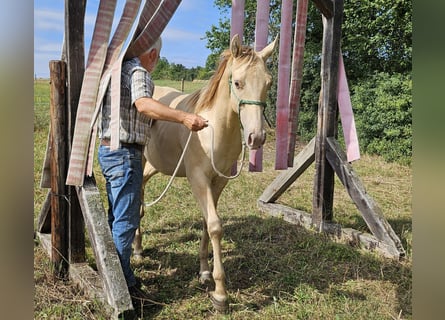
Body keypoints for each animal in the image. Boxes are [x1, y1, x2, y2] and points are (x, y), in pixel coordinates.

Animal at [134, 35, 276, 312]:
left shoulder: (217, 182)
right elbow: (215, 226)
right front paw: (220, 294)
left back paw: (137, 245)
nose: (256, 138)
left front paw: (204, 272)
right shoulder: (198, 179)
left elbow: (206, 223)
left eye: (269, 82)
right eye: (237, 82)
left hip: (154, 166)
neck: (211, 130)